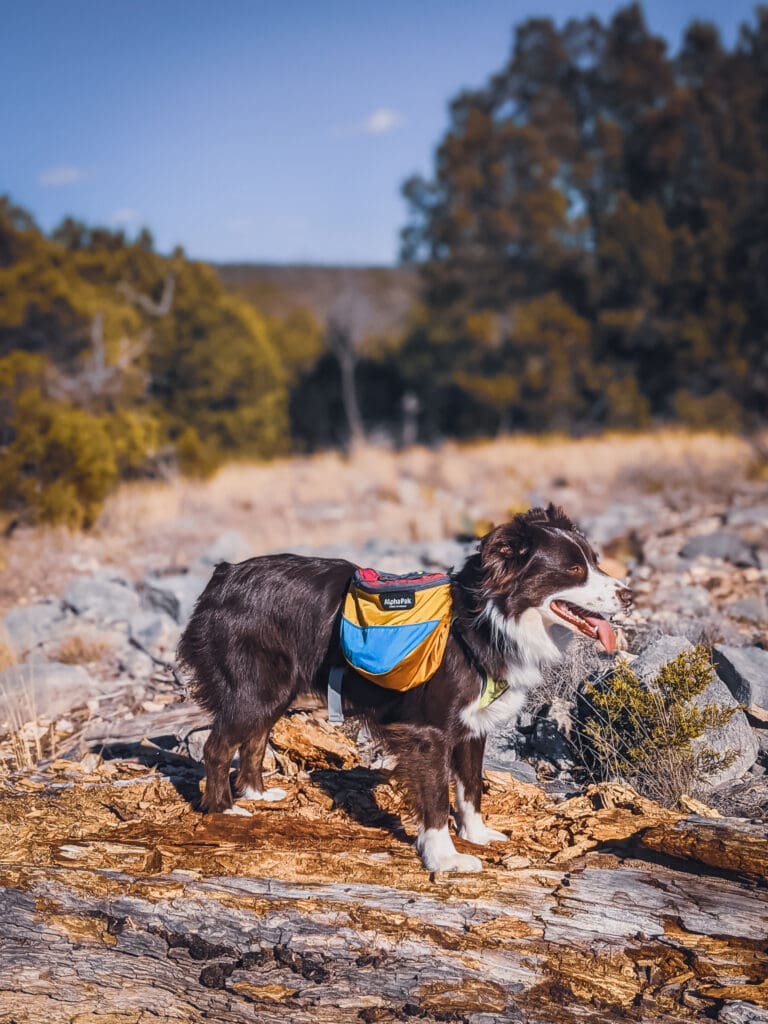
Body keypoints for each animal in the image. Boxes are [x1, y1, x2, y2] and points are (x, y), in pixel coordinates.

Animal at [179, 503, 630, 872]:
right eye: (574, 570)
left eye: (595, 562)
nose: (629, 595)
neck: (484, 620)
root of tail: (225, 575)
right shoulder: (428, 733)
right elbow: (436, 798)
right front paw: (444, 857)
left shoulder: (473, 726)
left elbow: (470, 788)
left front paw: (477, 835)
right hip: (254, 686)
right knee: (218, 746)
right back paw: (224, 811)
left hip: (275, 688)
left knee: (254, 738)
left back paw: (255, 794)